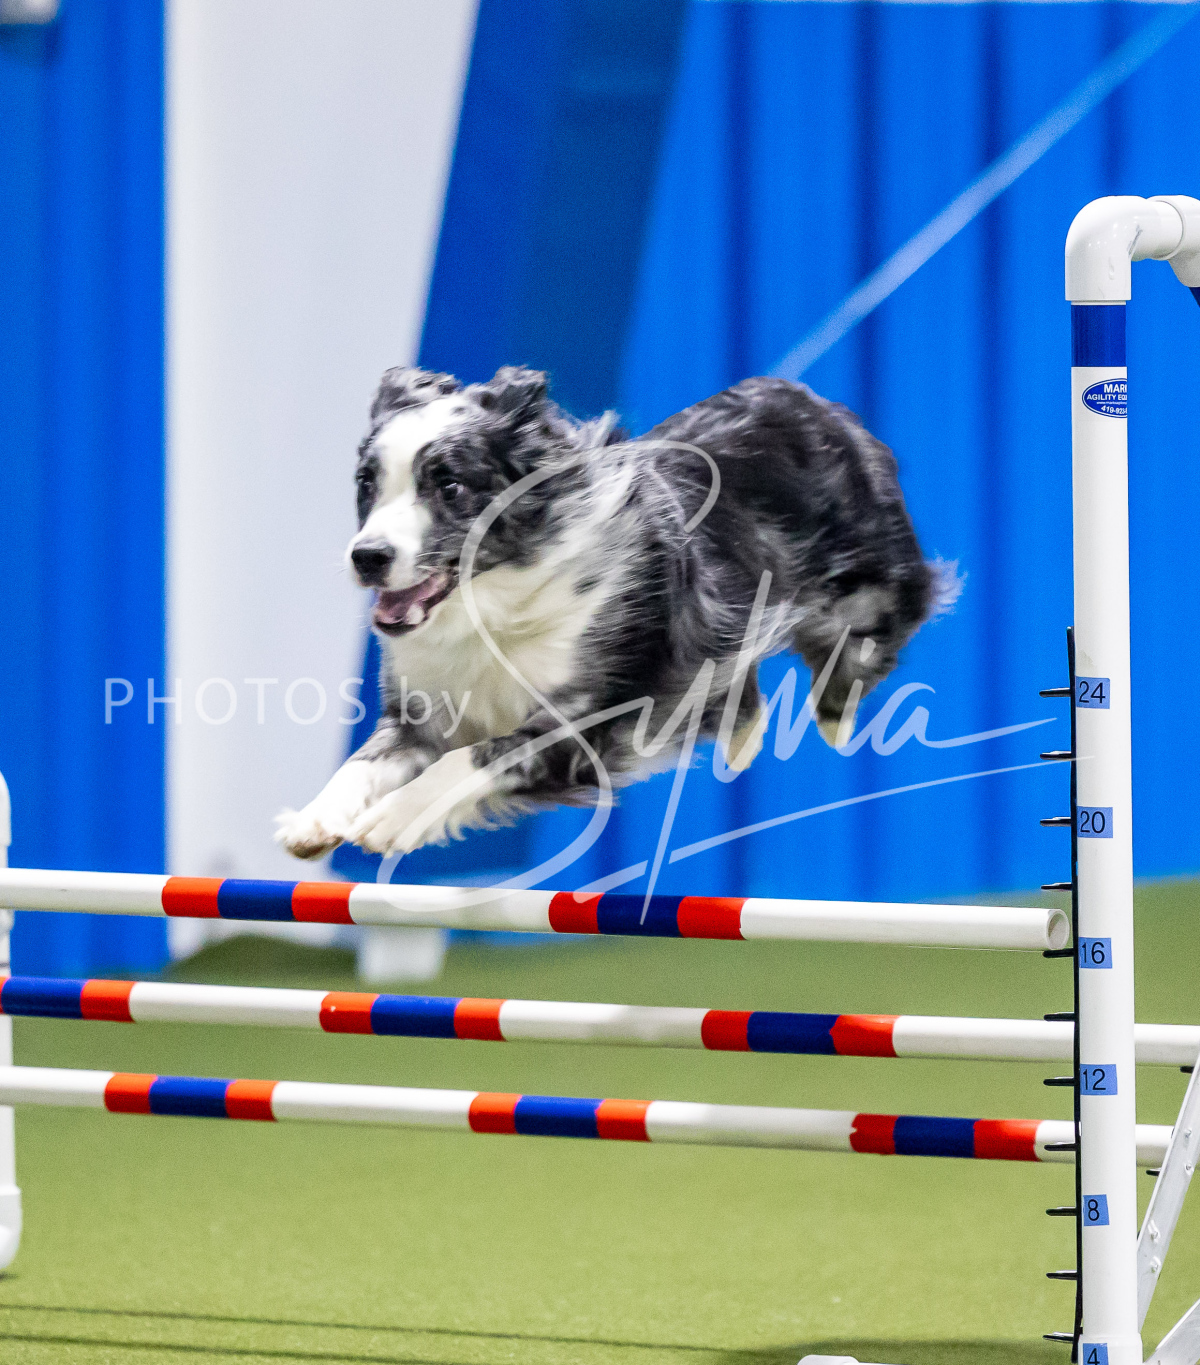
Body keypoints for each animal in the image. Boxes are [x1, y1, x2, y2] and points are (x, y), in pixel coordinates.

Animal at [275, 365, 940, 861]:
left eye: (450, 485)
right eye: (366, 483)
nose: (368, 557)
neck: (493, 605)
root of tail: (812, 401)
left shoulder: (585, 724)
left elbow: (475, 756)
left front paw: (396, 817)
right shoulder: (422, 713)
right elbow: (362, 763)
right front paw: (313, 821)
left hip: (869, 590)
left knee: (860, 649)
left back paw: (833, 721)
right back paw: (743, 742)